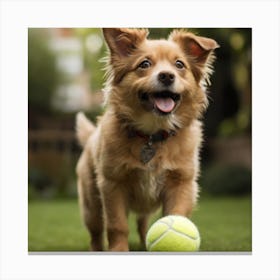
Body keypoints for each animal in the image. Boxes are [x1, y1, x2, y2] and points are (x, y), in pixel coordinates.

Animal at [76, 28, 219, 252]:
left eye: (179, 65)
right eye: (144, 64)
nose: (167, 75)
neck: (153, 135)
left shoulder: (181, 184)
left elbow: (176, 214)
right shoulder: (113, 185)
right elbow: (117, 225)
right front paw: (119, 250)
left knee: (143, 224)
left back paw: (145, 243)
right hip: (91, 205)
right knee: (96, 231)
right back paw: (97, 249)